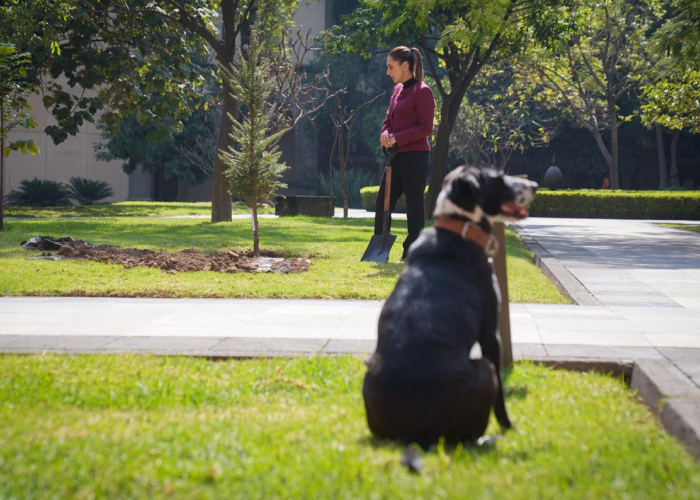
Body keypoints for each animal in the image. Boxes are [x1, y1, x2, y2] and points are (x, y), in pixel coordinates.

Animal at [360, 165, 536, 450]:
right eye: (498, 178)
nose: (534, 185)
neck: (459, 229)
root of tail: (415, 435)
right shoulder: (490, 334)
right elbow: (501, 397)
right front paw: (510, 427)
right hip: (484, 370)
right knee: (470, 436)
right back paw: (490, 438)